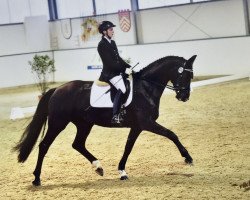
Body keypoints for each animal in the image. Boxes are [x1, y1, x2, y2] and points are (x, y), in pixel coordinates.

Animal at [13, 54, 197, 186]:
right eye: (185, 76)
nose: (184, 97)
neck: (145, 88)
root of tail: (57, 89)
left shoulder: (137, 126)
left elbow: (128, 147)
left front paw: (122, 172)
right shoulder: (147, 123)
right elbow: (171, 134)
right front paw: (188, 158)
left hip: (84, 124)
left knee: (78, 144)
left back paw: (98, 167)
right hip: (58, 123)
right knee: (44, 145)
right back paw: (37, 179)